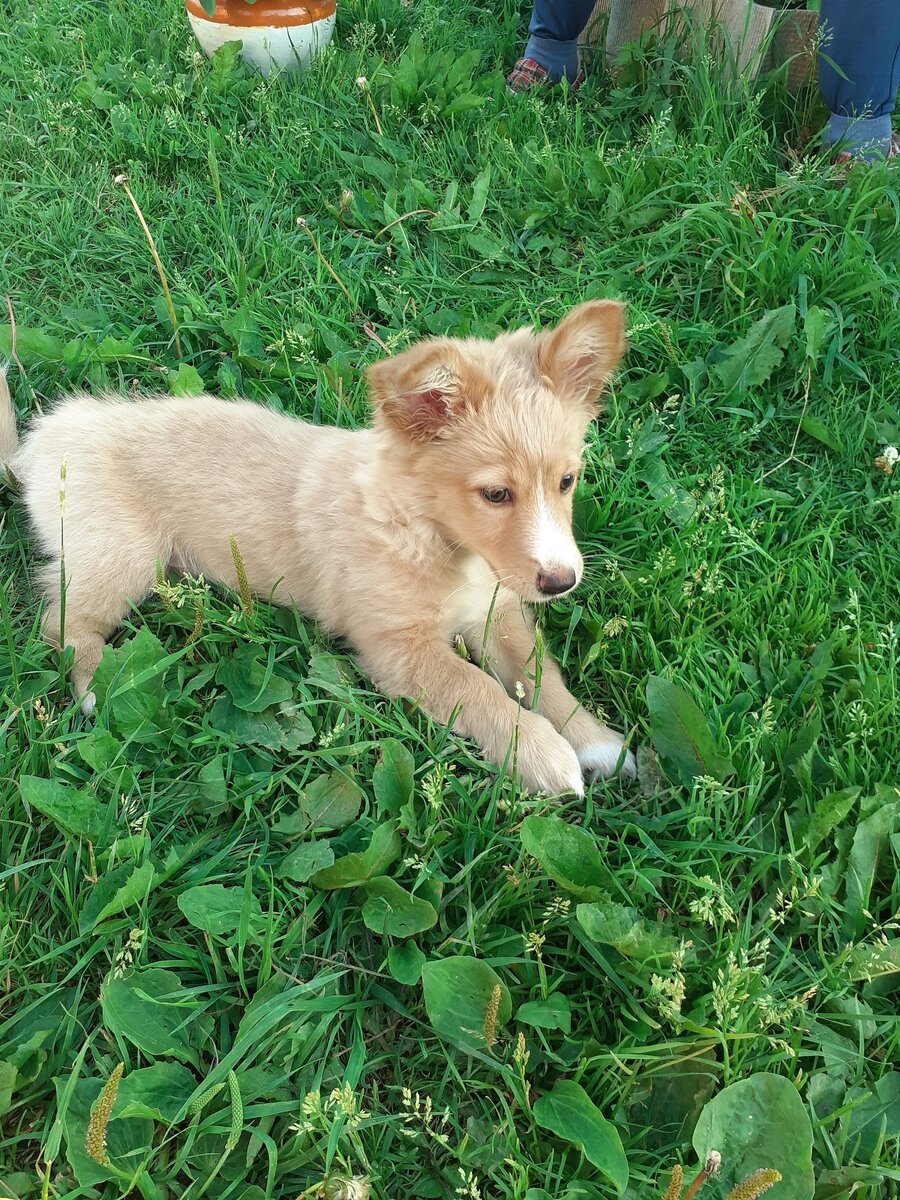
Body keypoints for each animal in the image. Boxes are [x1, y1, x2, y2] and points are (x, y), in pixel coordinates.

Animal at [0, 300, 635, 795]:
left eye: (567, 481)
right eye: (496, 494)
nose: (563, 583)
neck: (424, 533)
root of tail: (42, 443)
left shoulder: (496, 609)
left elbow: (539, 672)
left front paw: (594, 741)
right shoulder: (397, 650)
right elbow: (478, 690)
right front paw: (543, 755)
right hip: (123, 555)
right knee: (62, 620)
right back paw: (97, 686)